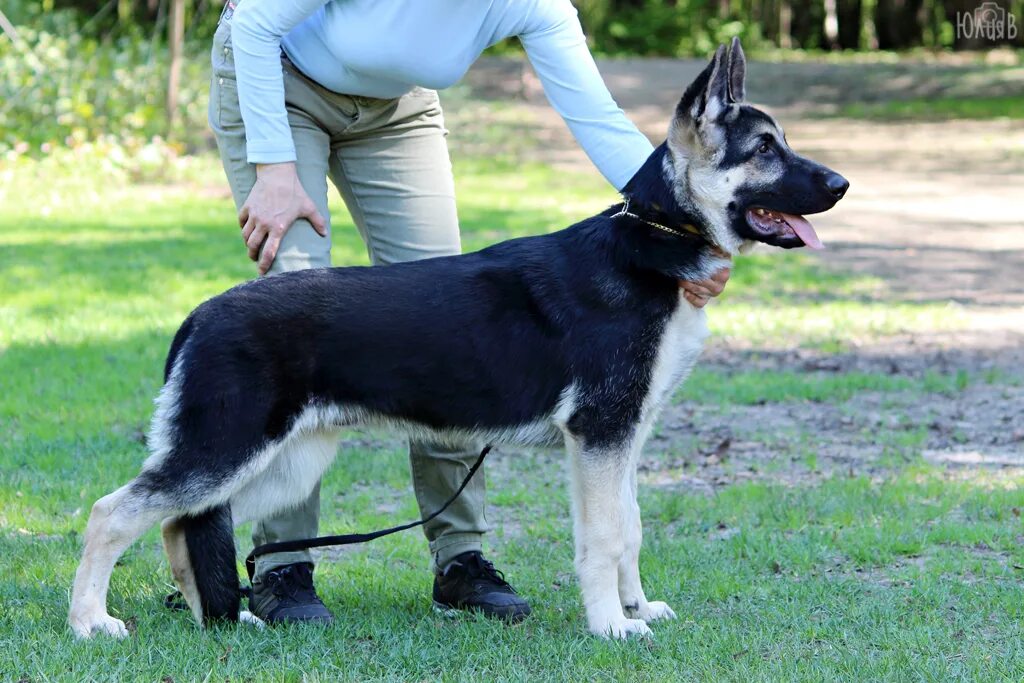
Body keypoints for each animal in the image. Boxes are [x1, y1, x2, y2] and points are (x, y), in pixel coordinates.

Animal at [68, 40, 843, 643]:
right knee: (113, 514)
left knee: (180, 523)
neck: (656, 234)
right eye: (765, 149)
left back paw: (219, 618)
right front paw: (610, 626)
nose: (840, 184)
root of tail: (200, 313)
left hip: (278, 463)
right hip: (229, 452)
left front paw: (636, 606)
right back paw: (90, 623)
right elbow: (602, 539)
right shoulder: (600, 438)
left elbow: (631, 529)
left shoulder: (623, 440)